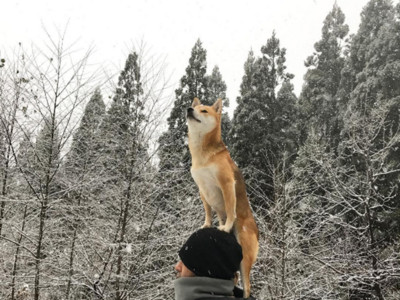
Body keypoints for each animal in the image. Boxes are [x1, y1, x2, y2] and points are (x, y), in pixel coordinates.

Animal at [187, 98, 260, 298]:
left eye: (203, 110)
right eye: (194, 107)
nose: (188, 110)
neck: (202, 155)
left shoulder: (226, 183)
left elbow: (230, 208)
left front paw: (226, 226)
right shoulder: (202, 189)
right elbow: (208, 212)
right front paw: (207, 225)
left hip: (244, 254)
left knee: (247, 287)